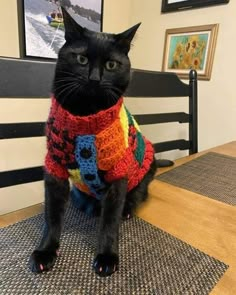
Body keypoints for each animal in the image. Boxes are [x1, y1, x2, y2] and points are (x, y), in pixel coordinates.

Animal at [30, 7, 157, 280]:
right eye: (81, 60)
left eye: (111, 65)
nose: (95, 79)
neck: (86, 115)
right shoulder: (54, 170)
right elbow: (51, 217)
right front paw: (45, 251)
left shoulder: (118, 174)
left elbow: (109, 222)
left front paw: (107, 257)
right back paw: (89, 207)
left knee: (134, 198)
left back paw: (126, 209)